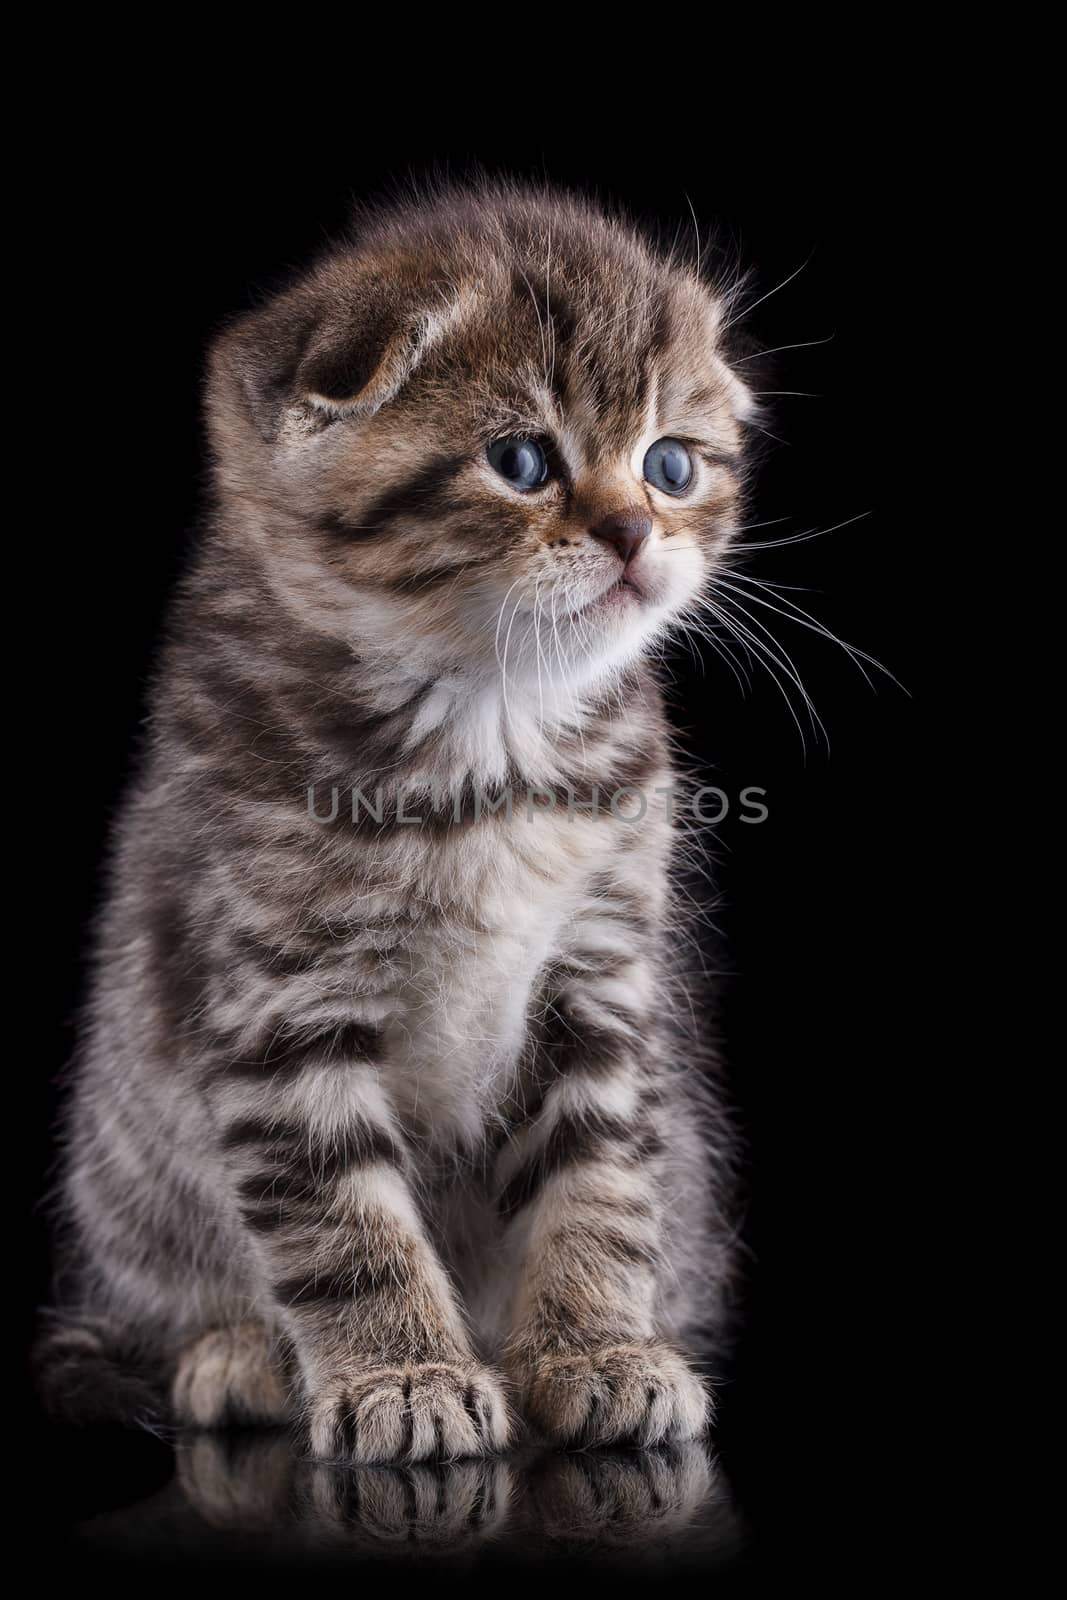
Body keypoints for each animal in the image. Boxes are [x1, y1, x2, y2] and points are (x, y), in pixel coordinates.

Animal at [41, 181, 755, 1459]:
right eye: (519, 460)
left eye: (670, 464)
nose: (634, 532)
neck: (491, 742)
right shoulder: (277, 1003)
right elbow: (338, 1218)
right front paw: (403, 1373)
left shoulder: (601, 977)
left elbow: (599, 1185)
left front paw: (596, 1348)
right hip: (129, 1186)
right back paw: (236, 1353)